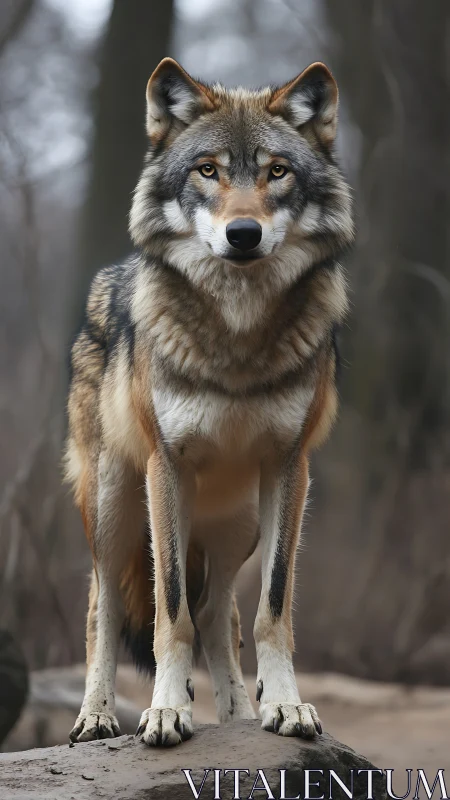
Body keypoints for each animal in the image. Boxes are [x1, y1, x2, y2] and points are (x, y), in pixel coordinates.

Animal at [65, 57, 354, 746]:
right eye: (207, 170)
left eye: (276, 171)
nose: (242, 234)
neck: (237, 338)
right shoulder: (166, 467)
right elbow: (169, 611)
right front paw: (166, 710)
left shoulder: (290, 467)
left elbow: (271, 609)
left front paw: (286, 706)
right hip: (115, 506)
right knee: (103, 606)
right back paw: (97, 716)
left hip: (236, 526)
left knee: (220, 612)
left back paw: (240, 714)